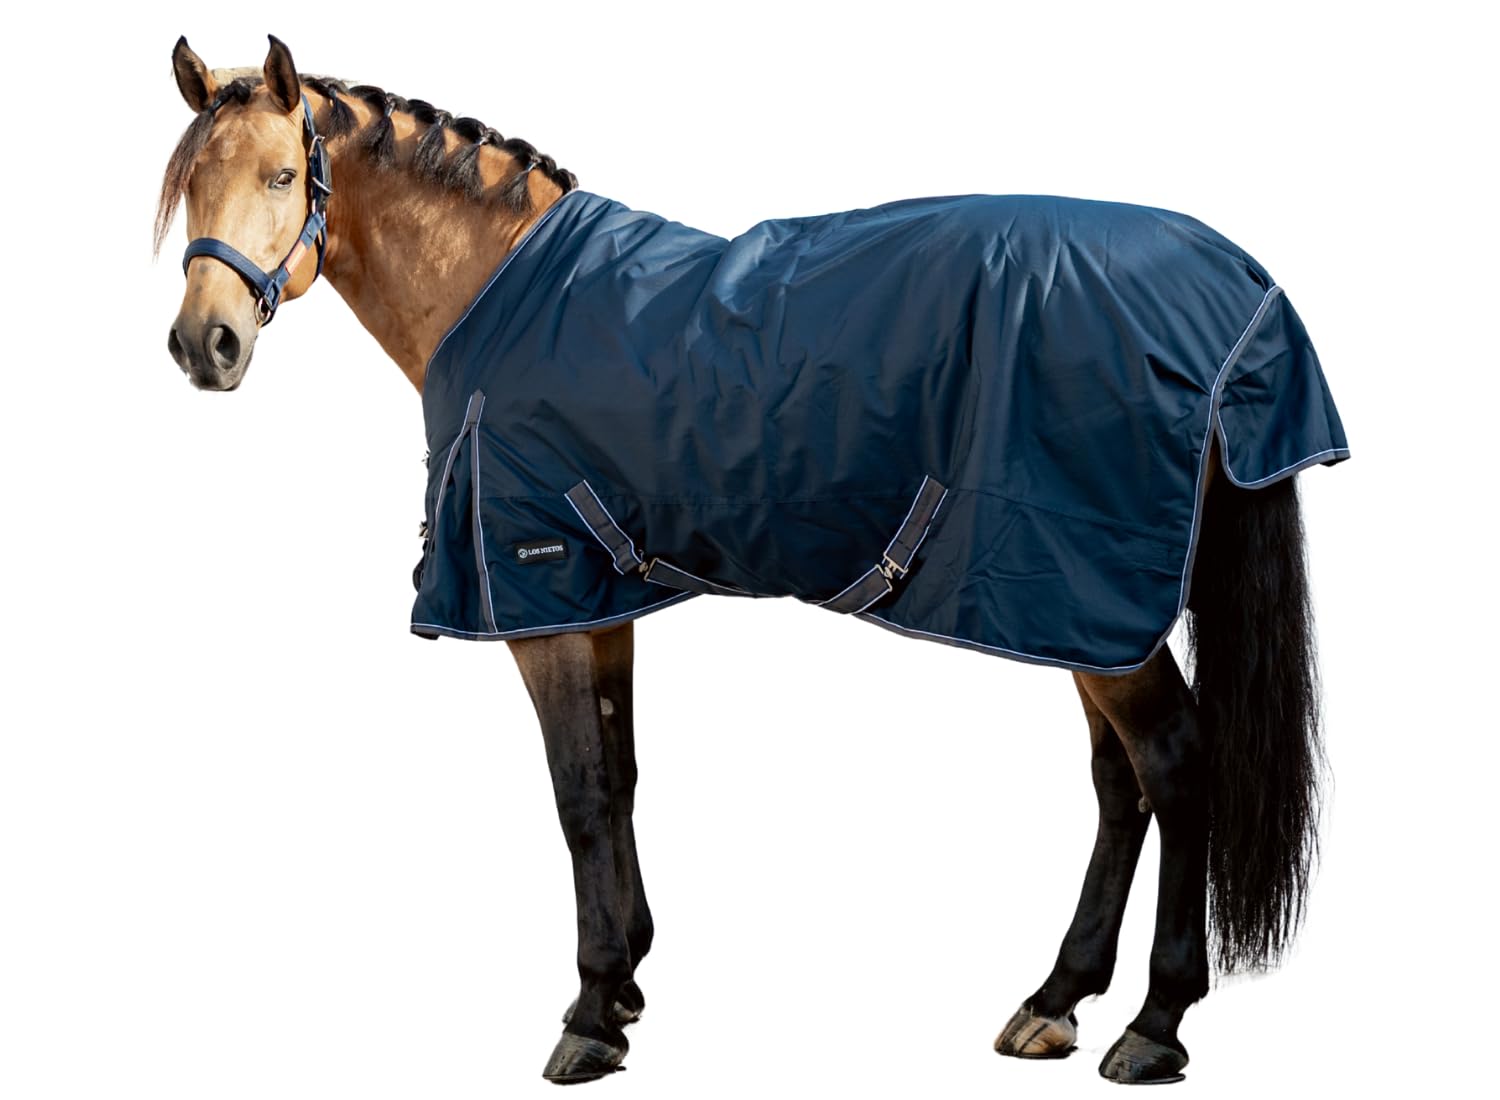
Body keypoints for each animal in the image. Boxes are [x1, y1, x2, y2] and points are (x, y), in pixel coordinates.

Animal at [157, 35, 1346, 1087]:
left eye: (280, 174)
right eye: (188, 186)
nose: (204, 346)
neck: (497, 286)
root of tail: (1235, 287)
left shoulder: (538, 596)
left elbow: (577, 795)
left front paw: (588, 1016)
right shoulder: (602, 598)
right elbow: (621, 777)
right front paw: (628, 982)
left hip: (1092, 597)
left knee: (1176, 763)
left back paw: (1153, 1025)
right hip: (1076, 607)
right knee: (1118, 780)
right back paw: (1055, 998)